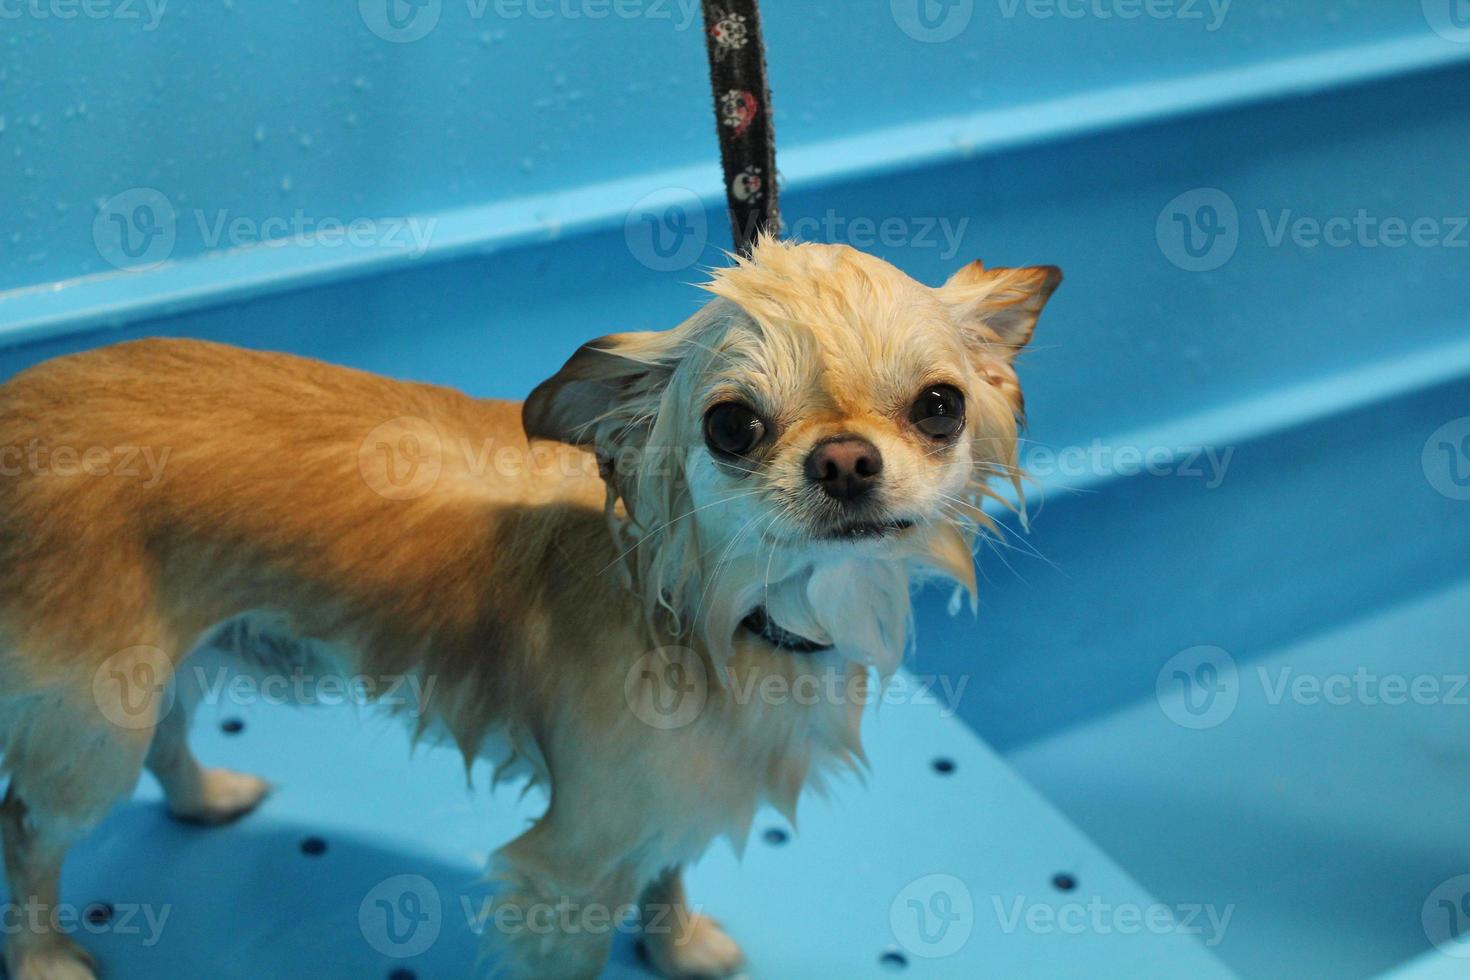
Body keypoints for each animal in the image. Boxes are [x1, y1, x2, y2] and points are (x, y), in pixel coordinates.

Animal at [0, 239, 1058, 980]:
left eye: (938, 406)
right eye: (731, 425)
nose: (843, 460)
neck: (734, 617)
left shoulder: (676, 791)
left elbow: (667, 873)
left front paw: (676, 947)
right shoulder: (567, 870)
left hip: (154, 668)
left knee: (166, 737)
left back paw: (203, 796)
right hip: (91, 721)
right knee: (28, 827)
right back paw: (44, 955)